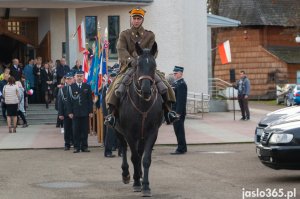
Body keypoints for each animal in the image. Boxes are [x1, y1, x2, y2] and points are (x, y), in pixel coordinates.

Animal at [114, 41, 163, 197]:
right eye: (137, 65)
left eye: (154, 65)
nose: (146, 89)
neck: (142, 104)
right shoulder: (129, 133)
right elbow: (134, 157)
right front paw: (136, 182)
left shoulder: (152, 133)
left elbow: (145, 159)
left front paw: (146, 185)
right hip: (118, 131)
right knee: (124, 149)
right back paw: (127, 174)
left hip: (141, 136)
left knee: (139, 152)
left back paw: (140, 175)